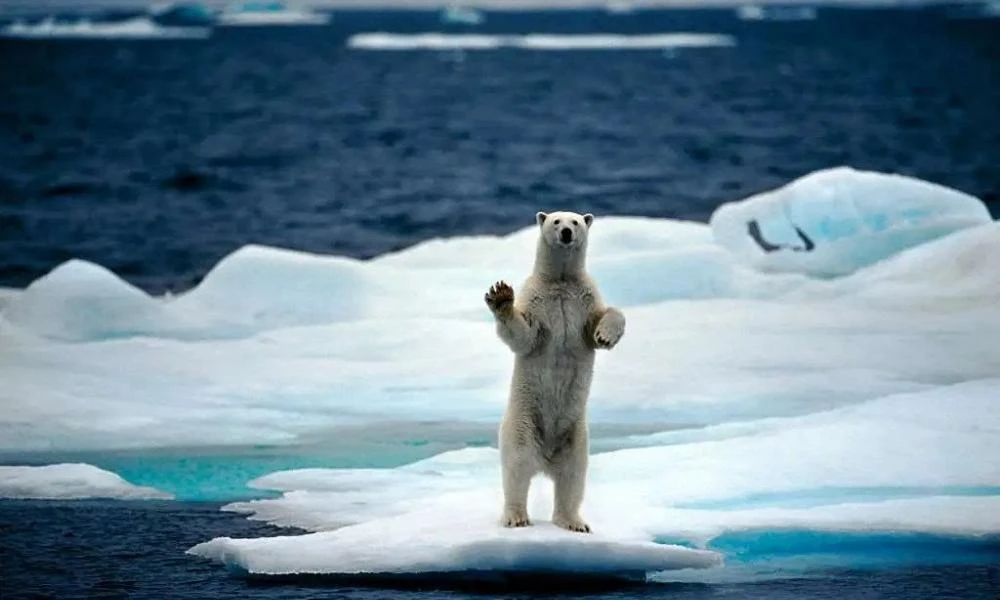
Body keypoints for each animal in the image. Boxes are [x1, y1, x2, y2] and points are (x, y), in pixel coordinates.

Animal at [484, 211, 624, 536]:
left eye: (576, 222)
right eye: (556, 221)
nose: (565, 233)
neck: (560, 281)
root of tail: (546, 457)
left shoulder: (584, 300)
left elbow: (606, 316)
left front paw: (605, 335)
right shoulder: (537, 302)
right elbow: (523, 335)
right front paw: (501, 297)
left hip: (575, 435)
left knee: (573, 476)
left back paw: (573, 521)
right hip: (523, 422)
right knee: (518, 468)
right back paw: (517, 517)